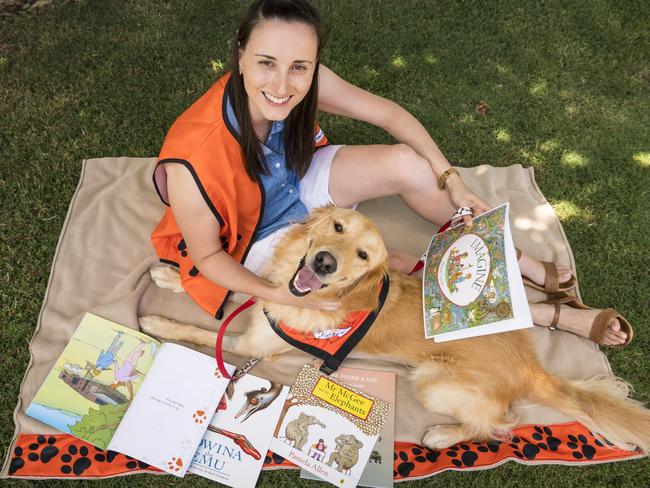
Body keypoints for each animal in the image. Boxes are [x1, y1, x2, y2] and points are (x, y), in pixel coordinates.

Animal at [140, 206, 648, 454]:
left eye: (364, 256)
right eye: (337, 226)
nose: (324, 263)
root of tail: (530, 365)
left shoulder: (254, 344)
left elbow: (199, 331)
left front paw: (154, 320)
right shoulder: (263, 301)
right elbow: (228, 293)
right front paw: (171, 277)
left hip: (432, 383)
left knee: (503, 422)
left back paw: (443, 436)